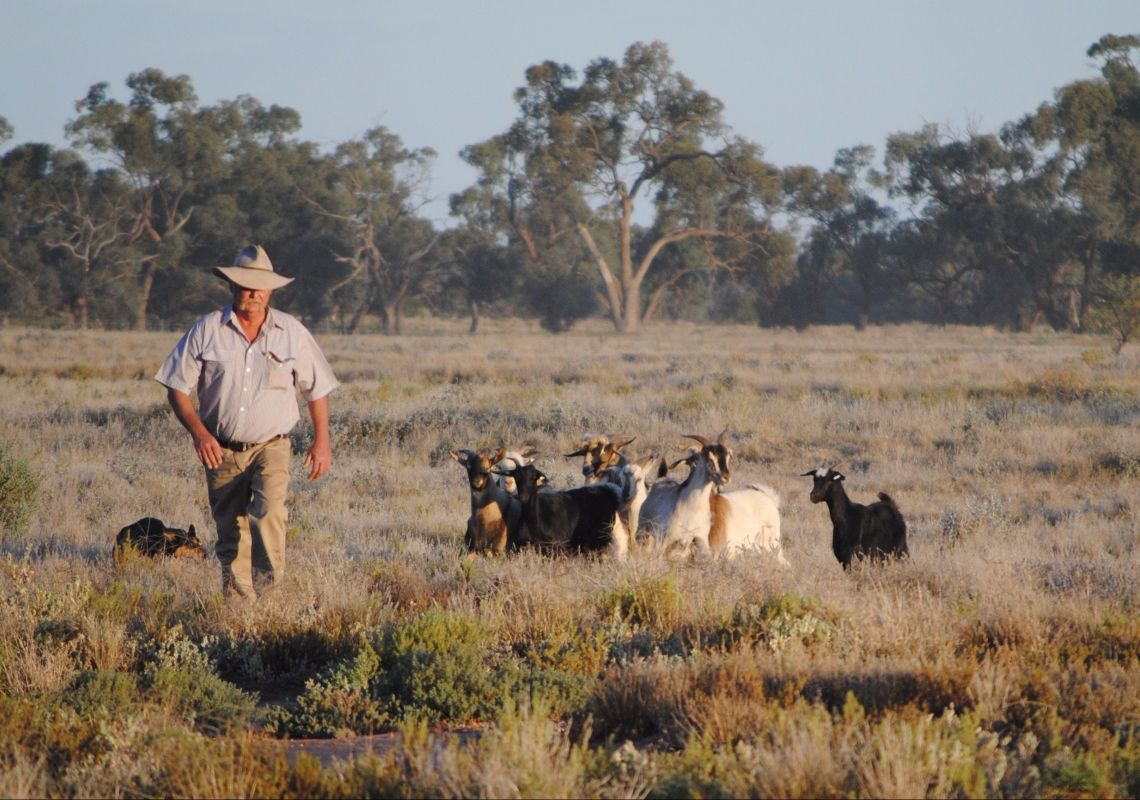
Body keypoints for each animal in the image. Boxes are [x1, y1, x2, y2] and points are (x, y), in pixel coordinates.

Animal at [494, 460, 629, 560]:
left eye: (534, 477)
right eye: (516, 478)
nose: (523, 497)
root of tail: (605, 491)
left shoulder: (556, 548)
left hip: (601, 541)